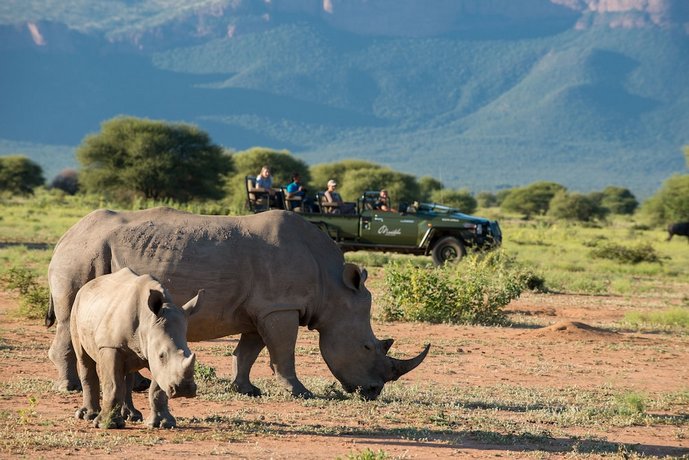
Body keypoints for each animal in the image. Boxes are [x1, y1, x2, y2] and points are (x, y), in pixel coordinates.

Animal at [71, 268, 203, 430]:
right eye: (162, 355)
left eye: (189, 353)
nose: (184, 389)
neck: (148, 321)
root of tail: (87, 285)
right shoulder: (110, 346)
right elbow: (112, 385)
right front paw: (106, 425)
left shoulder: (152, 349)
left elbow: (157, 389)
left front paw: (163, 424)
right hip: (76, 308)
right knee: (84, 359)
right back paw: (87, 416)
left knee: (127, 373)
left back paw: (131, 416)